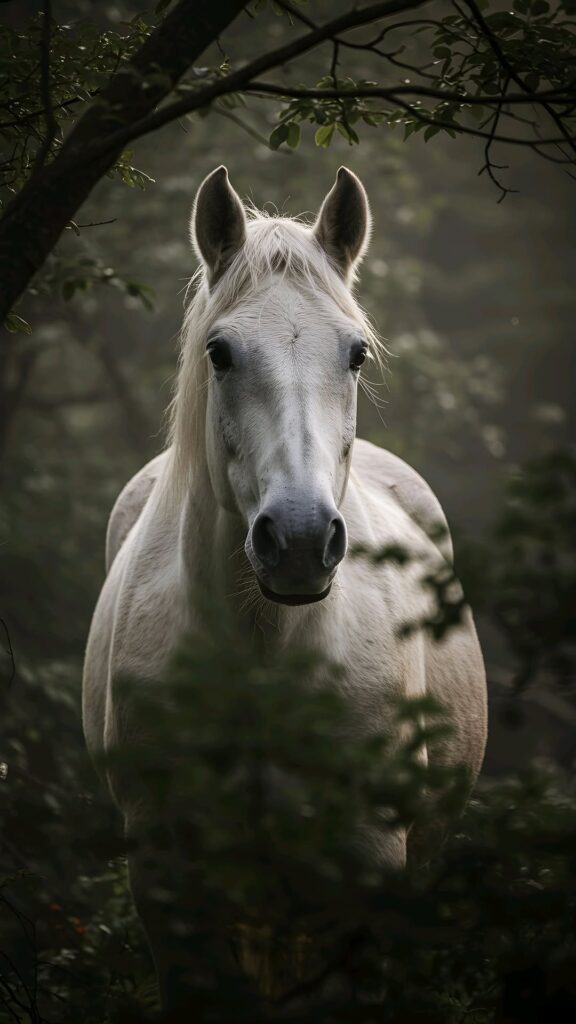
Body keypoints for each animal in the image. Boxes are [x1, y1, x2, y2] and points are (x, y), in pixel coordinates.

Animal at [82, 166, 487, 1010]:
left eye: (356, 354)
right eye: (220, 352)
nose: (299, 541)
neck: (263, 663)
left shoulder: (364, 879)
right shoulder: (169, 891)